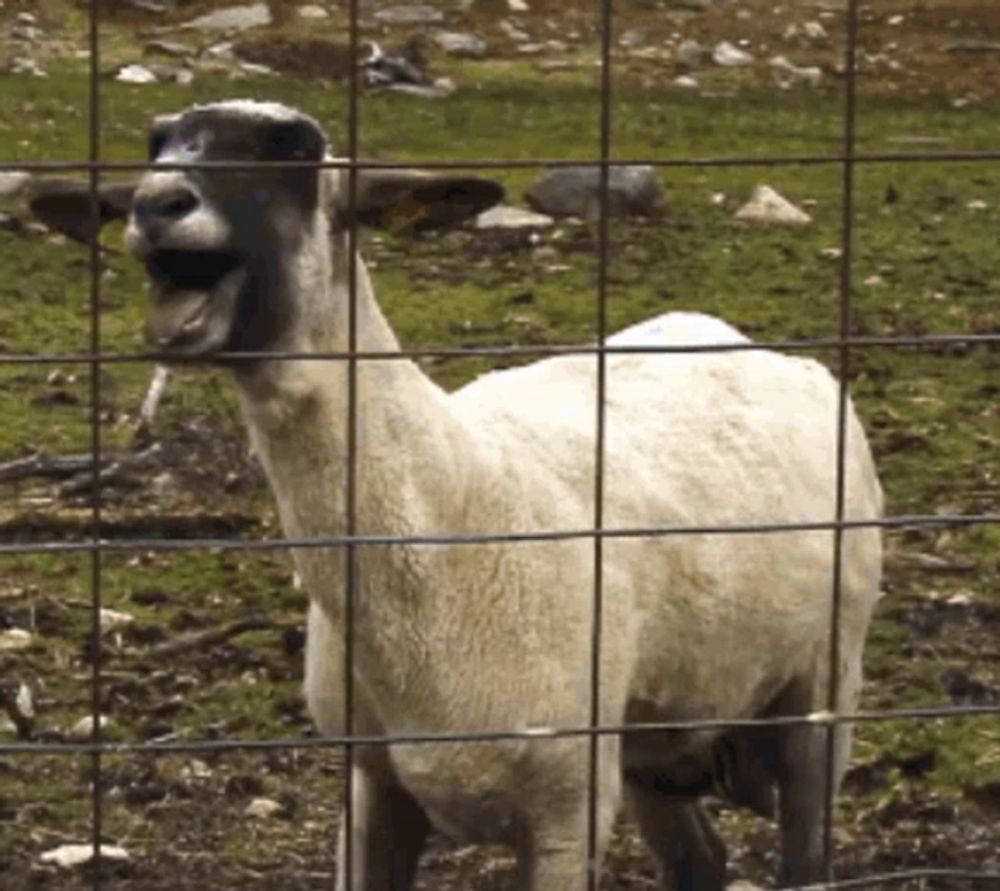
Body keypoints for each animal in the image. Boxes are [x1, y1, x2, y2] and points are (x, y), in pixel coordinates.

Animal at [52, 101, 884, 888]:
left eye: (292, 149)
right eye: (158, 140)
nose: (156, 203)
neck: (445, 514)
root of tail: (759, 347)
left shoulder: (566, 807)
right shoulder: (373, 784)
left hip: (823, 684)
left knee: (806, 852)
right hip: (656, 727)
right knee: (699, 862)